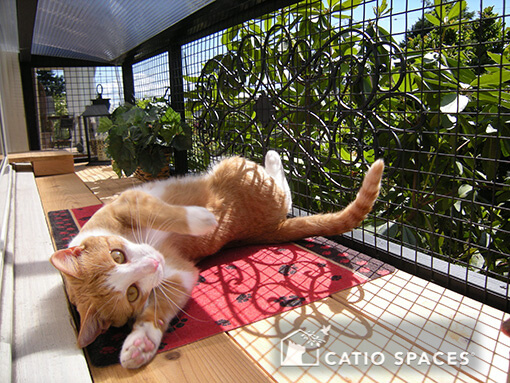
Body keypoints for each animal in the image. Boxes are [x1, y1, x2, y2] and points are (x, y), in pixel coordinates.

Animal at [49, 151, 382, 368]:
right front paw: (141, 344)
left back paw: (272, 154)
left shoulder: (131, 202)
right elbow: (158, 308)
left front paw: (203, 218)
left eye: (117, 255)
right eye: (132, 293)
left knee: (282, 188)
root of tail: (270, 229)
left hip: (233, 165)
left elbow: (163, 211)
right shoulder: (179, 272)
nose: (153, 263)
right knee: (284, 193)